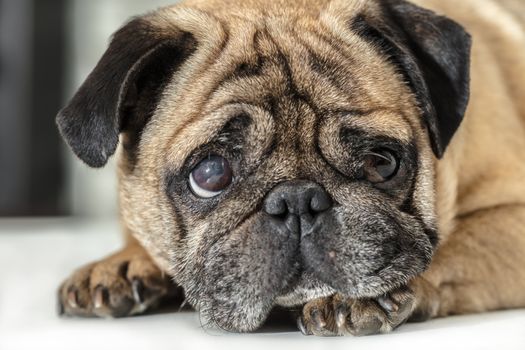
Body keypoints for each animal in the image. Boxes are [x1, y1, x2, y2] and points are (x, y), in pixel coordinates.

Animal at [55, 0, 524, 336]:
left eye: (380, 162)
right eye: (210, 174)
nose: (298, 199)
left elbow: (450, 247)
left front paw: (362, 297)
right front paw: (122, 262)